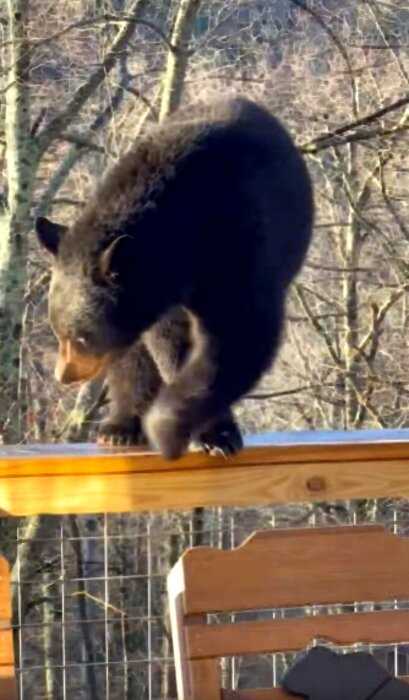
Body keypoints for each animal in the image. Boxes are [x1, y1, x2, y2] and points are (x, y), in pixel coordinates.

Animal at [35, 97, 312, 460]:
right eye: (58, 332)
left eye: (81, 338)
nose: (63, 375)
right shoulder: (162, 298)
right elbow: (171, 344)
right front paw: (202, 429)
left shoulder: (243, 240)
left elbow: (238, 333)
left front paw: (189, 429)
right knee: (133, 355)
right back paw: (120, 427)